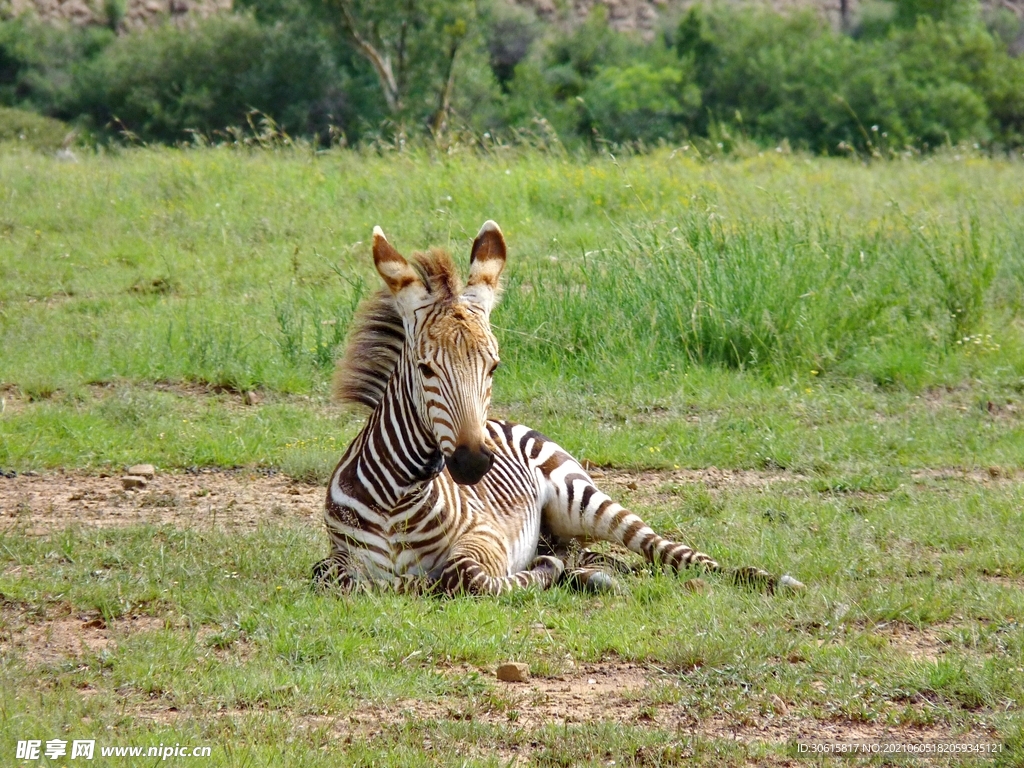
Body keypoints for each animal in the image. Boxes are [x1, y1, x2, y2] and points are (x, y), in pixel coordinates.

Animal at [307, 221, 802, 593]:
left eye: (494, 366)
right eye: (425, 368)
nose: (473, 462)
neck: (398, 497)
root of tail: (509, 424)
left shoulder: (486, 537)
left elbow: (466, 576)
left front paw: (539, 571)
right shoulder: (337, 558)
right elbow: (329, 576)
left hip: (584, 499)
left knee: (669, 552)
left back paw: (767, 579)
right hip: (561, 529)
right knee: (592, 556)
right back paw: (593, 577)